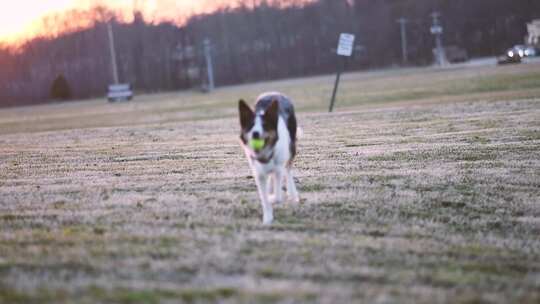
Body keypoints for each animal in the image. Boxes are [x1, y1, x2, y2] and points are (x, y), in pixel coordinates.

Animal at [239, 91, 302, 224]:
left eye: (265, 125)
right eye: (251, 126)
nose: (255, 133)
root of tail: (275, 93)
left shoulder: (279, 168)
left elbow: (277, 196)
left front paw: (272, 198)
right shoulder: (259, 174)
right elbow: (264, 198)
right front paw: (268, 218)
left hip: (291, 148)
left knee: (288, 170)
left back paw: (293, 194)